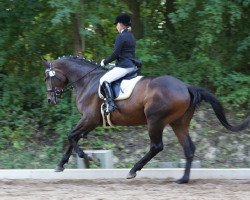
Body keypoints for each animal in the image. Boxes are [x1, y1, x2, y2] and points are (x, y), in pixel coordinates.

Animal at [42, 55, 249, 184]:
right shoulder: (90, 121)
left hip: (155, 121)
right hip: (178, 123)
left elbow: (71, 136)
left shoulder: (90, 119)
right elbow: (73, 137)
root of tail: (186, 86)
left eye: (48, 78)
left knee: (156, 146)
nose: (51, 100)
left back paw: (133, 170)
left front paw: (86, 156)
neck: (88, 81)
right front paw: (61, 165)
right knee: (188, 148)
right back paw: (183, 179)